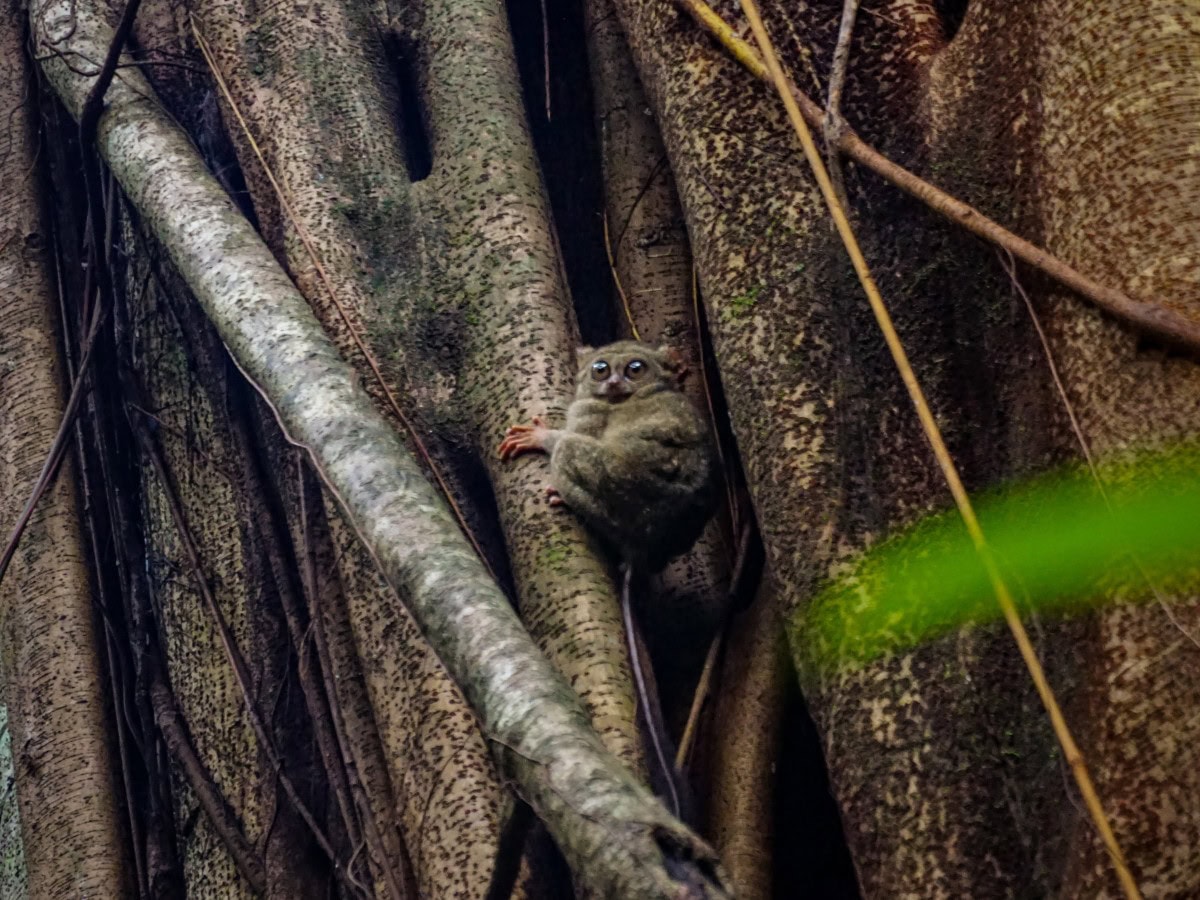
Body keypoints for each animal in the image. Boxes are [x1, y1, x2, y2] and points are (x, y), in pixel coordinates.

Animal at [497, 341, 718, 817]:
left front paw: (541, 436)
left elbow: (569, 432)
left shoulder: (588, 412)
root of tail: (646, 547)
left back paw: (565, 493)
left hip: (615, 484)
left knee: (570, 452)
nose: (613, 382)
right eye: (601, 368)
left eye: (634, 368)